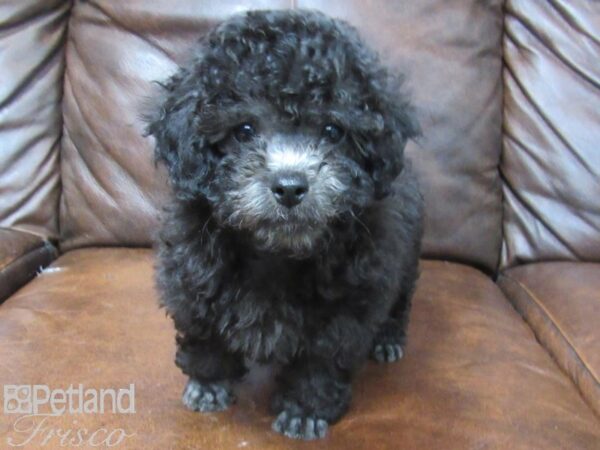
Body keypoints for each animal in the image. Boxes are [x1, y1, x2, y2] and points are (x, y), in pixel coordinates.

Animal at [148, 8, 424, 442]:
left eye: (332, 131)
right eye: (244, 130)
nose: (291, 186)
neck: (275, 252)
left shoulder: (349, 302)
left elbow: (321, 359)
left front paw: (304, 411)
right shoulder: (193, 278)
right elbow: (204, 333)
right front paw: (208, 383)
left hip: (407, 259)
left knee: (400, 303)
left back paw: (388, 341)